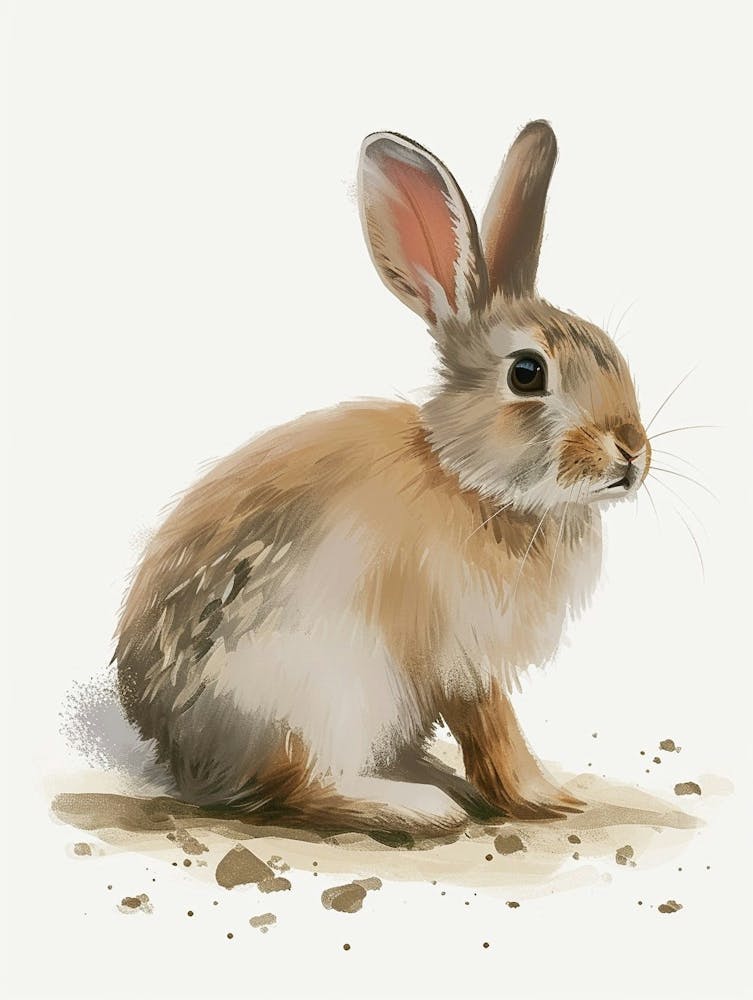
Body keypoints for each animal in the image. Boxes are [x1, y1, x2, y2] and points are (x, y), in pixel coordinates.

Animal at [115, 120, 651, 835]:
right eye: (527, 373)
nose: (632, 452)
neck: (469, 477)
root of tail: (184, 759)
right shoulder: (462, 651)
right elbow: (493, 728)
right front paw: (545, 799)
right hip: (314, 689)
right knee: (297, 784)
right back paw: (416, 806)